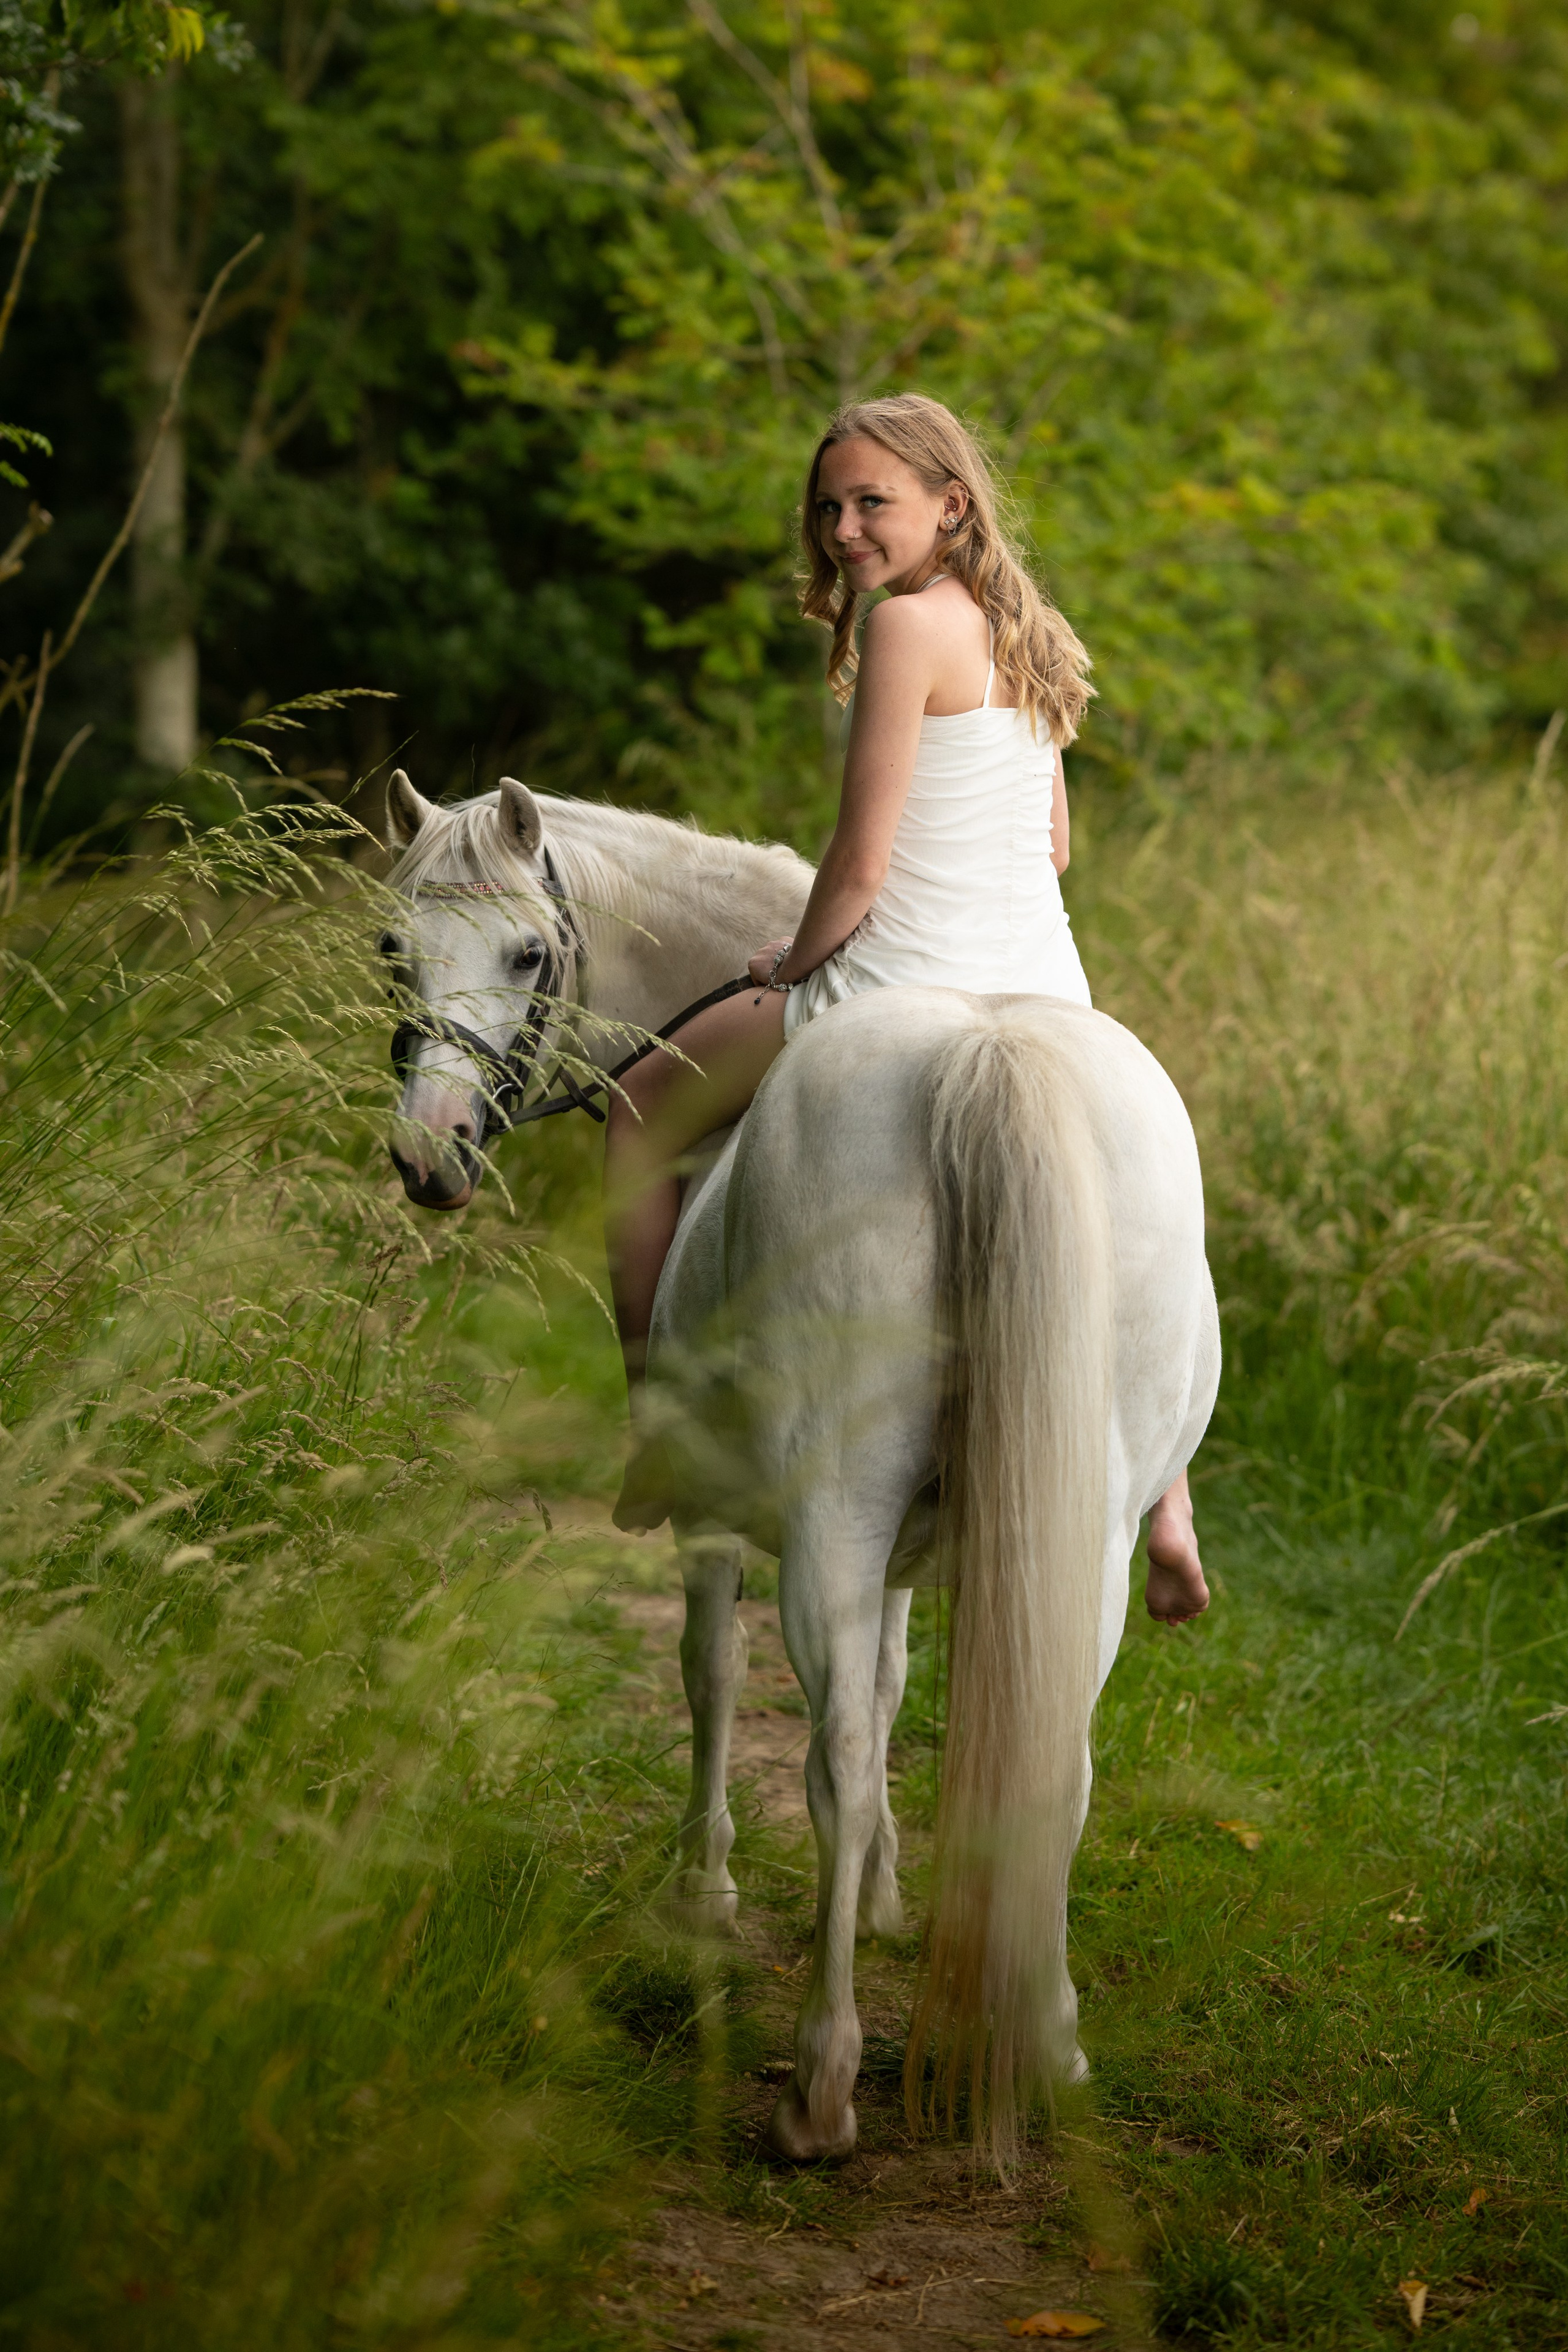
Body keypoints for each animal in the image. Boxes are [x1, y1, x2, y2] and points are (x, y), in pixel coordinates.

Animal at [379, 767, 1220, 2166]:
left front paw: (703, 1889)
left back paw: (822, 2084)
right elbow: (891, 1690)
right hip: (1080, 1537)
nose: (429, 1151)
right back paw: (1048, 2043)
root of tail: (982, 1053)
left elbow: (716, 1677)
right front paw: (884, 1896)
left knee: (828, 1758)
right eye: (393, 950)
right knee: (1050, 1758)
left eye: (529, 954)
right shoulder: (916, 1549)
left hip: (828, 1518)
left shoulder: (726, 1524)